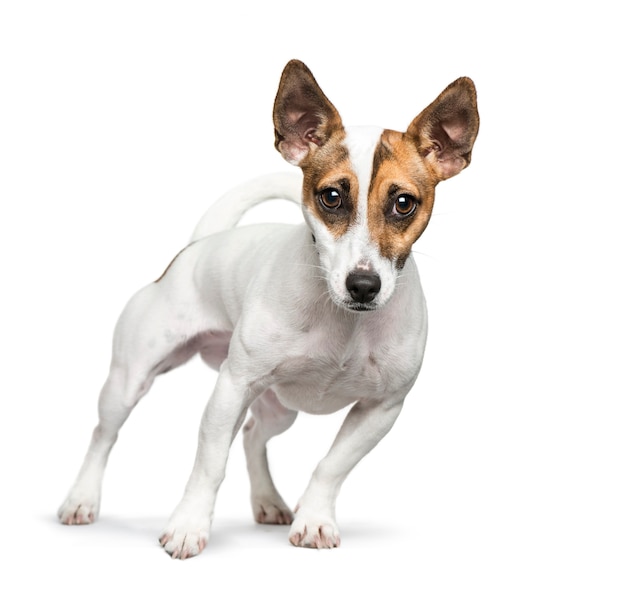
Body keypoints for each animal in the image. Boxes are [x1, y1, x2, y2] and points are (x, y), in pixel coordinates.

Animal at [58, 60, 478, 560]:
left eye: (403, 203)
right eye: (331, 196)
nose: (363, 285)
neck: (344, 322)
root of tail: (201, 244)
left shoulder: (382, 409)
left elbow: (332, 466)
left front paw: (313, 518)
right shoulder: (232, 388)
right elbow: (209, 464)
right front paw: (188, 525)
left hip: (280, 409)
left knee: (253, 436)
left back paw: (268, 500)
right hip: (129, 380)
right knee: (104, 435)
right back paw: (82, 499)